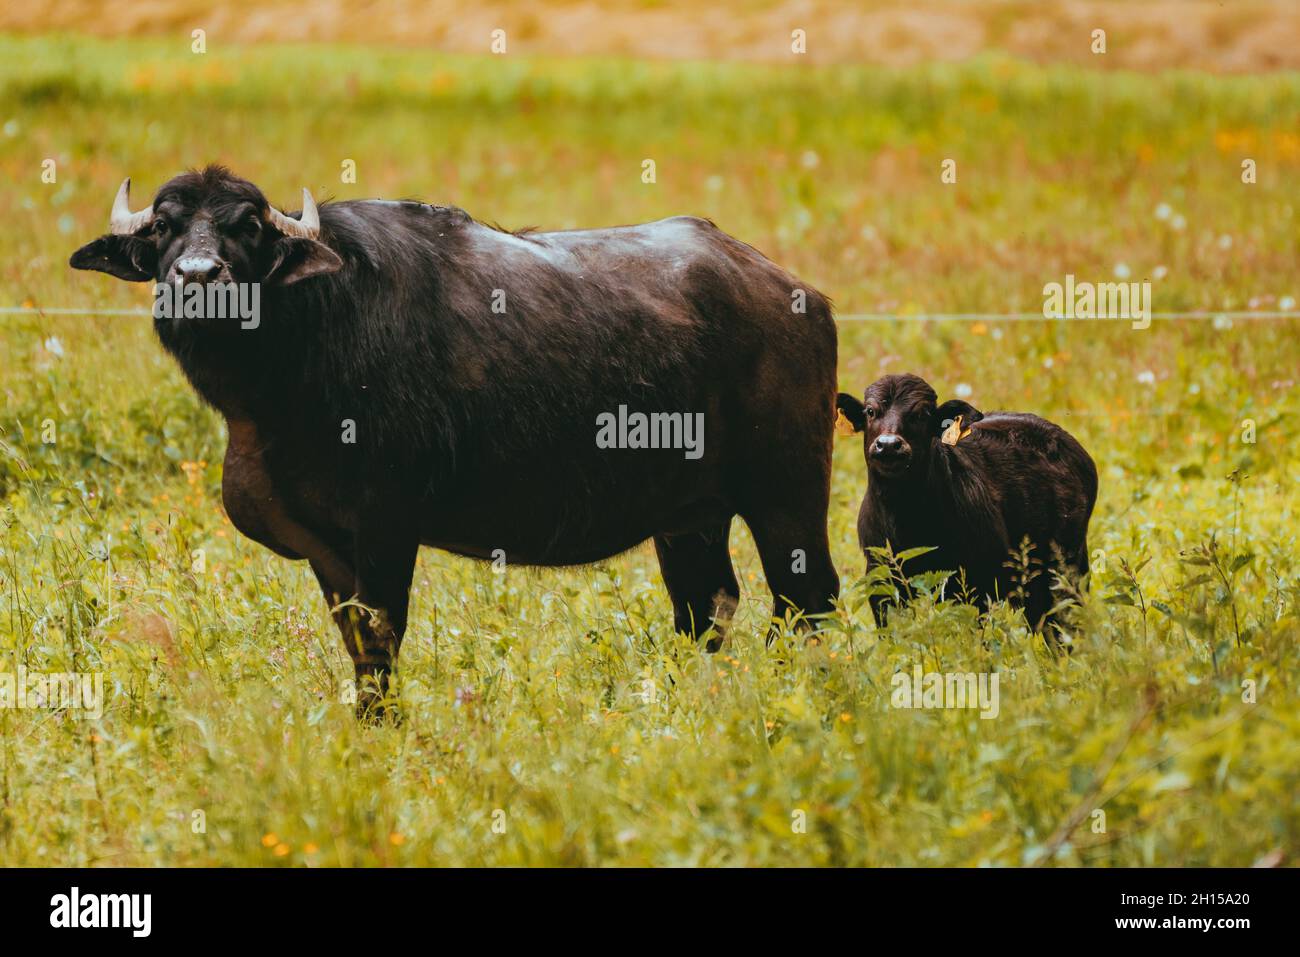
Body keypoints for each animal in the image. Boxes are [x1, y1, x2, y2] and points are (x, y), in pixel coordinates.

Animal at [73, 166, 842, 712]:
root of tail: (796, 293)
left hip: (789, 499)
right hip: (688, 520)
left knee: (808, 602)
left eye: (250, 226)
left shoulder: (386, 528)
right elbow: (356, 641)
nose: (198, 276)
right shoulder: (326, 547)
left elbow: (382, 639)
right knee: (706, 610)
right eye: (164, 227)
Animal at [832, 374, 1097, 634]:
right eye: (870, 411)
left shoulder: (975, 586)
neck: (906, 523)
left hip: (1066, 568)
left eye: (922, 414)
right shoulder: (881, 585)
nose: (888, 444)